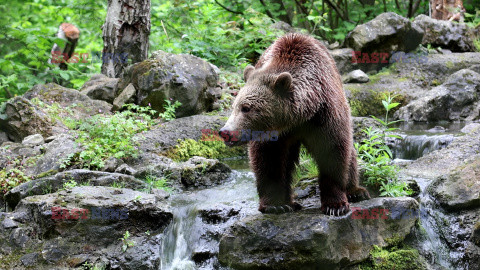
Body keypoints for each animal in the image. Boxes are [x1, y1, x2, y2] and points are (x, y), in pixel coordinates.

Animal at [219, 33, 370, 215]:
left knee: (350, 152)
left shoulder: (325, 114)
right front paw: (276, 204)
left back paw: (356, 191)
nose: (225, 131)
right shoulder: (272, 136)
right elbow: (270, 160)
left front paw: (335, 205)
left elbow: (333, 151)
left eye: (246, 108)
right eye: (235, 106)